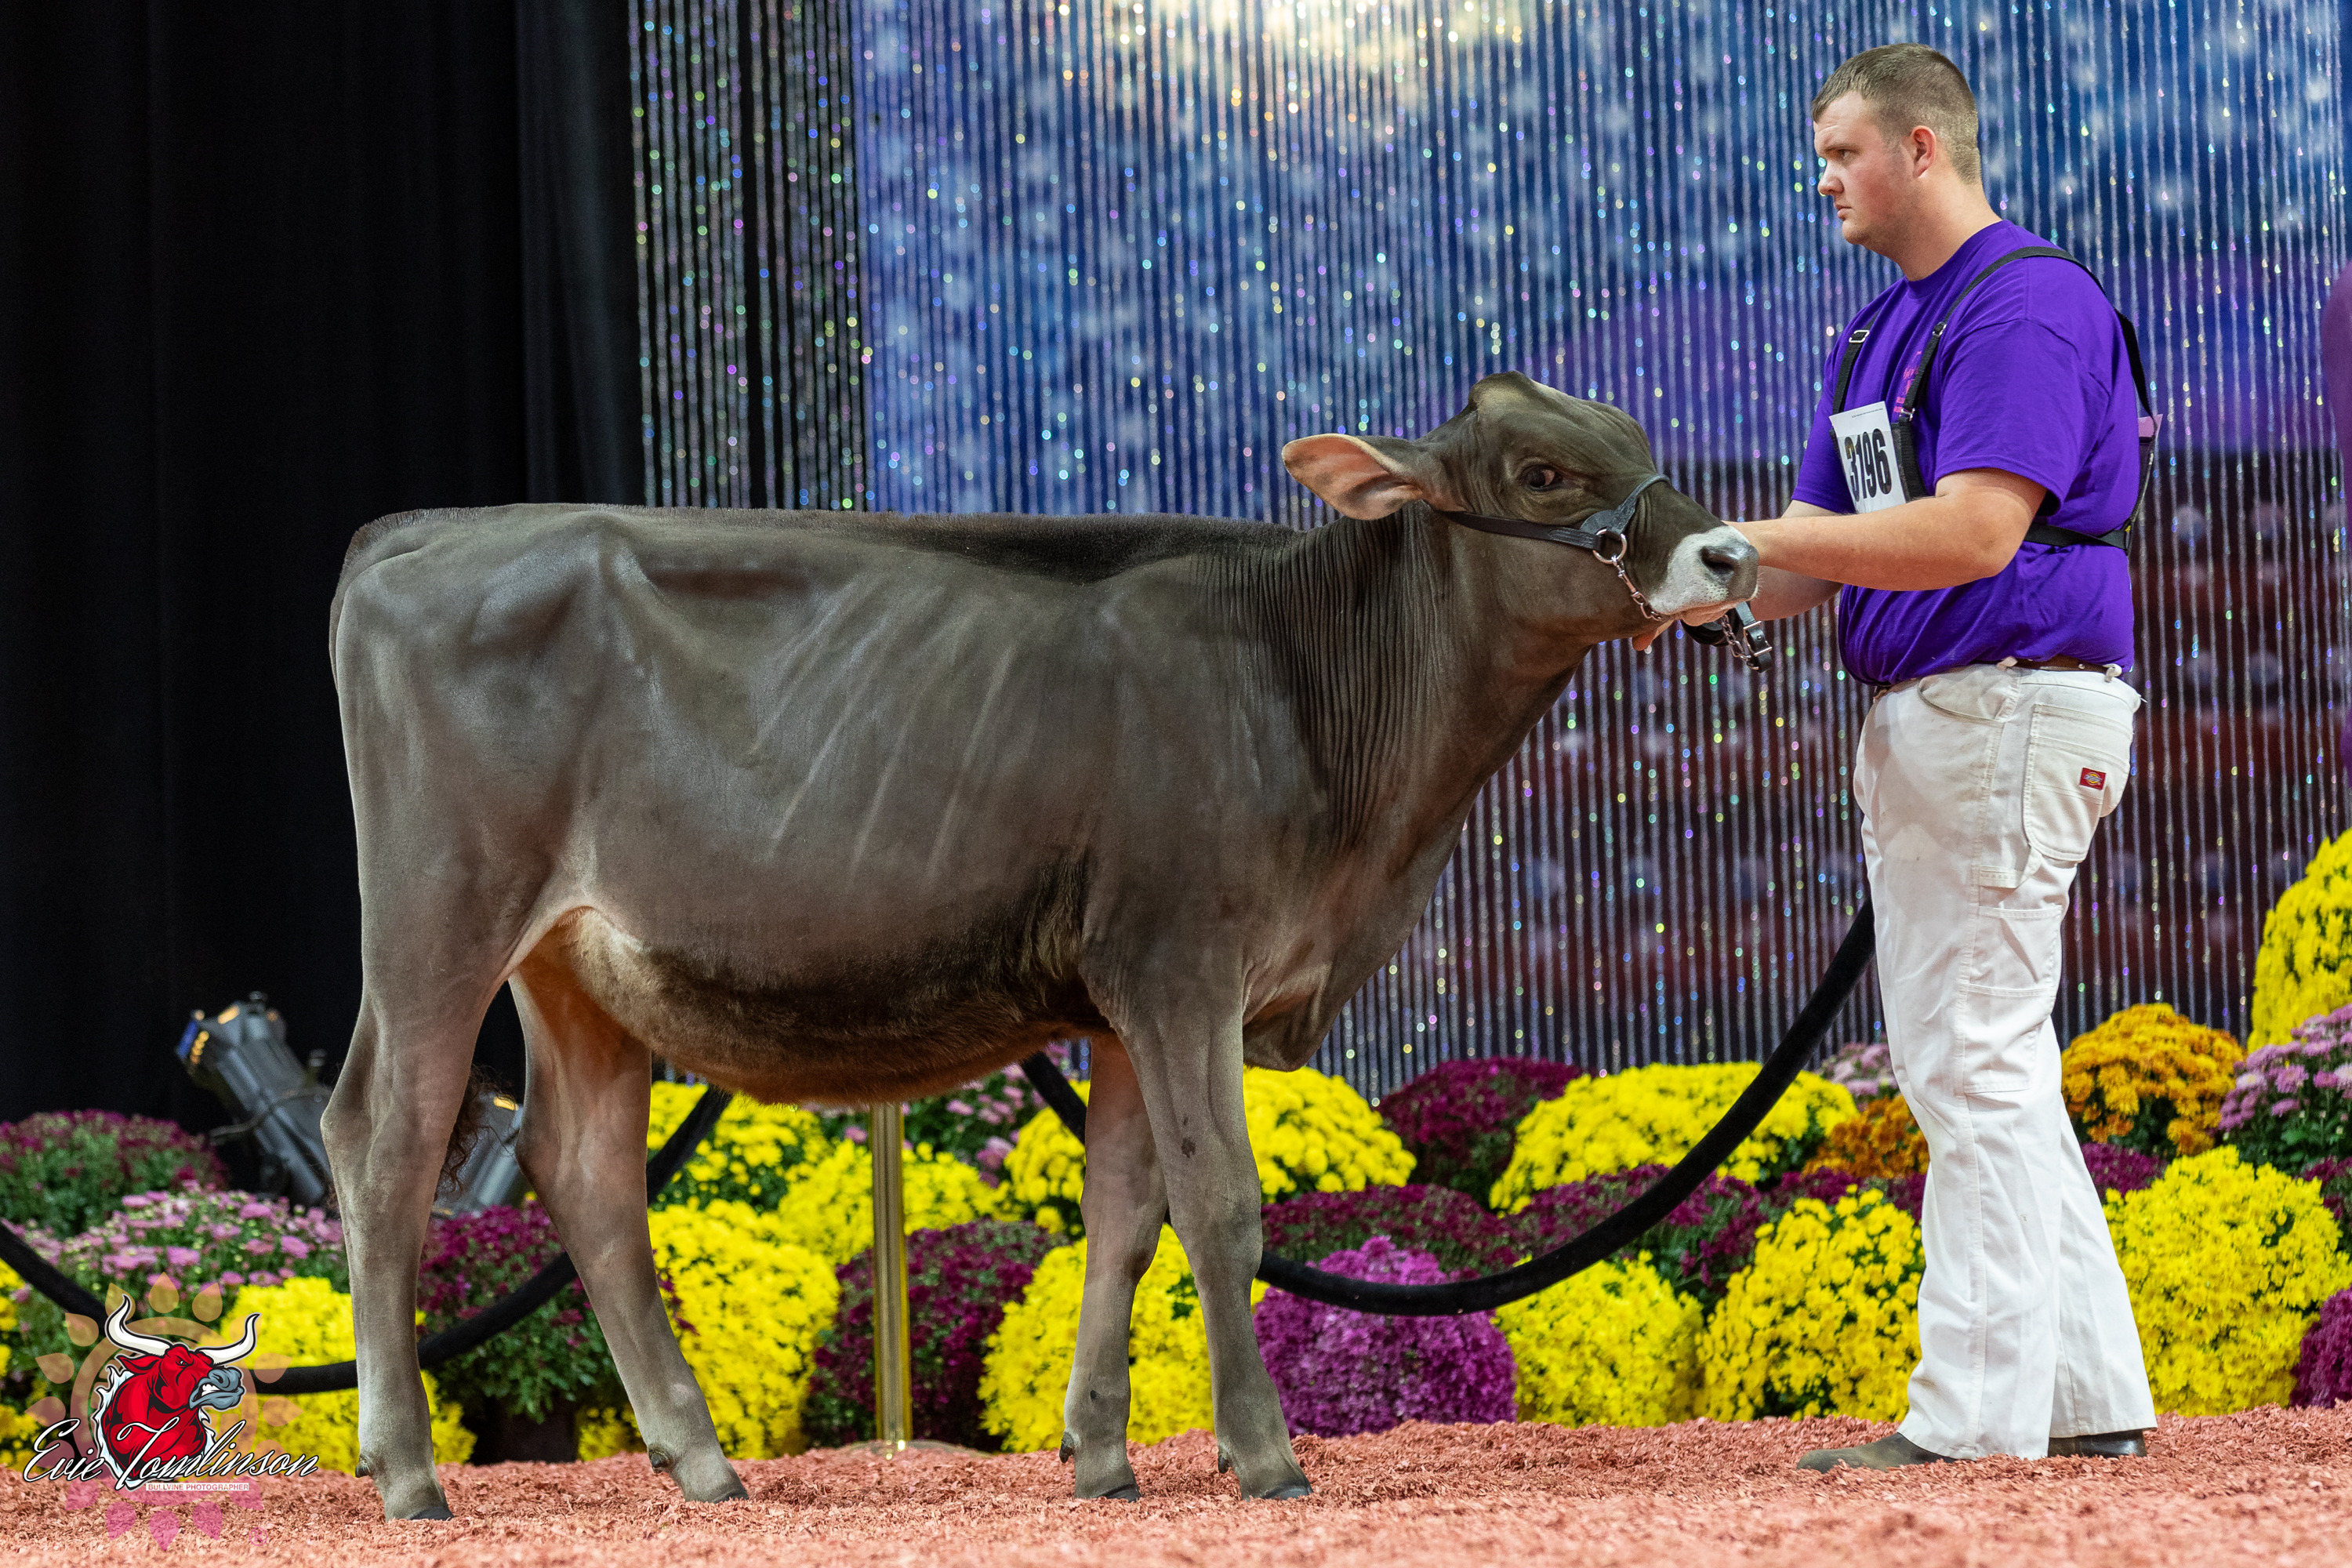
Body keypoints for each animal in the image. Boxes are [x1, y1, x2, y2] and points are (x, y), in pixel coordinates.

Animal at [321, 371, 1757, 1519]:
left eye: (1633, 436)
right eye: (1543, 473)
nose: (1735, 555)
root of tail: (425, 533)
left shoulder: (1126, 998)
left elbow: (1123, 1217)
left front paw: (1103, 1458)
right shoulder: (1181, 965)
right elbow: (1222, 1208)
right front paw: (1266, 1457)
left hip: (578, 966)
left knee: (585, 1169)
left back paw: (700, 1459)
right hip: (442, 914)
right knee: (387, 1141)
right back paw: (410, 1474)